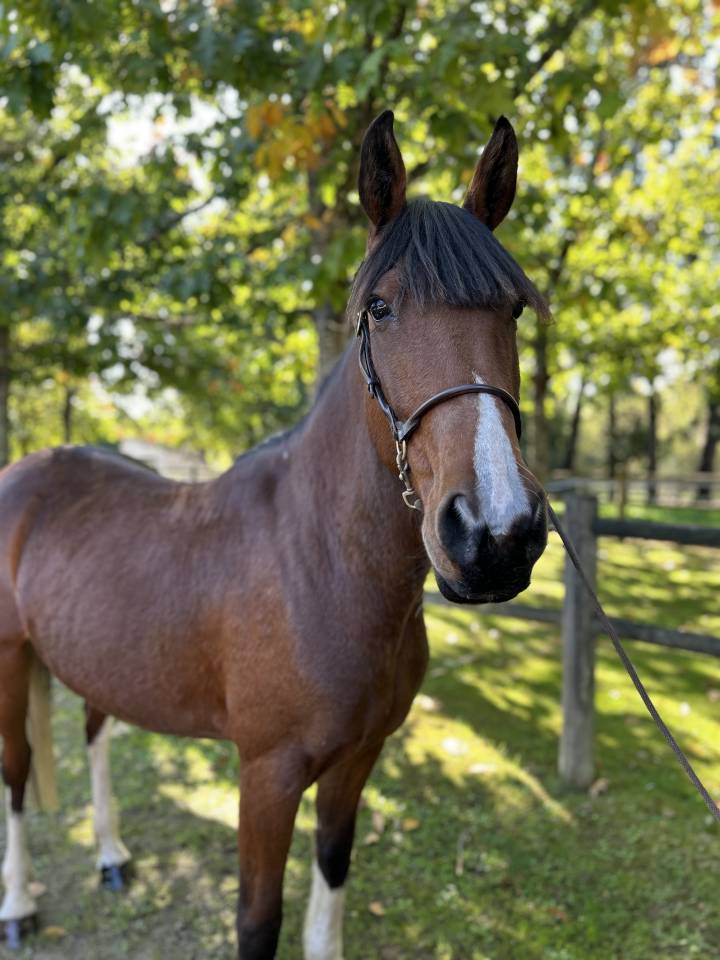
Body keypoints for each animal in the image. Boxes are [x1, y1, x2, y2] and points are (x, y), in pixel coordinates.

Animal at [0, 110, 549, 959]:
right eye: (380, 308)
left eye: (512, 311)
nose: (495, 533)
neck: (321, 568)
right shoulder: (266, 774)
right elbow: (258, 922)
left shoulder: (357, 761)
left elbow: (333, 869)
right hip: (8, 660)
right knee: (18, 775)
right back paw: (20, 904)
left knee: (92, 731)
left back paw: (112, 856)